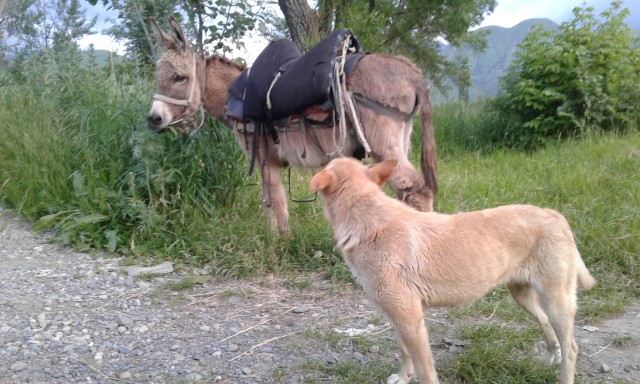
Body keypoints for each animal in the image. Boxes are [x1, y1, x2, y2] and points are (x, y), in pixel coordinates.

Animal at [310, 157, 596, 384]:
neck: (370, 222)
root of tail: (554, 215)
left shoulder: (410, 320)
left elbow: (426, 371)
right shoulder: (397, 316)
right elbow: (404, 351)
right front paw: (403, 377)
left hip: (556, 301)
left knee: (571, 347)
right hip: (523, 296)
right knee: (547, 326)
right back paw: (551, 354)